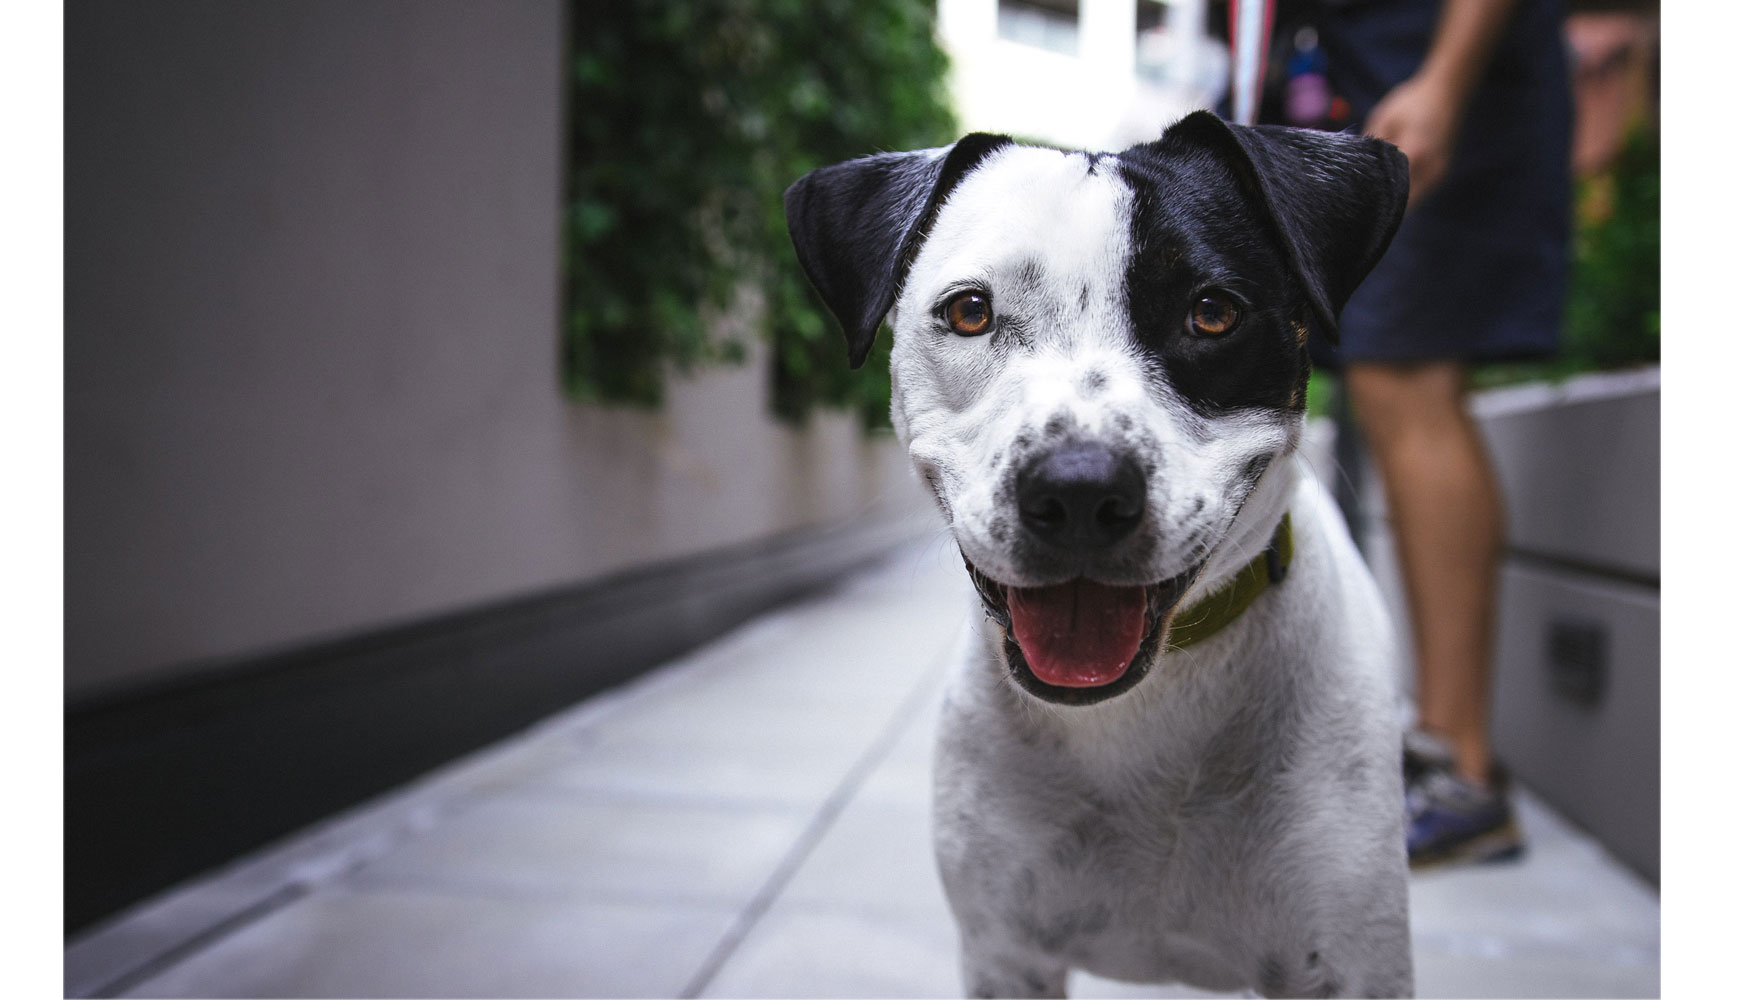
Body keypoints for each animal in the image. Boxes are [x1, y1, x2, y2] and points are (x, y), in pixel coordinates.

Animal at [787, 111, 1414, 1000]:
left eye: (1213, 312)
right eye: (970, 311)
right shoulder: (1006, 956)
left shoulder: (1351, 963)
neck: (1144, 713)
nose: (1079, 490)